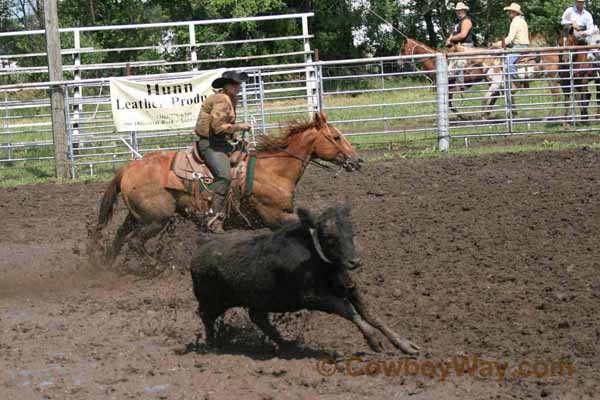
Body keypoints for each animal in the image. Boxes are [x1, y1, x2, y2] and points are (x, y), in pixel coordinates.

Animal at [89, 111, 360, 266]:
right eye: (336, 137)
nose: (357, 160)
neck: (274, 170)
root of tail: (127, 168)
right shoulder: (274, 216)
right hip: (157, 219)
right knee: (134, 241)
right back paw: (156, 267)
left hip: (139, 217)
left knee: (120, 236)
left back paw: (104, 267)